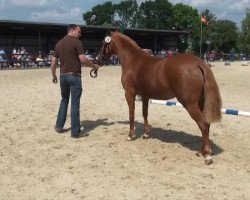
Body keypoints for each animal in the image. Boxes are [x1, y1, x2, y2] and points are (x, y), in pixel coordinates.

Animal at [98, 32, 222, 165]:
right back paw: (201, 151)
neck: (133, 60)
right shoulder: (145, 96)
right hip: (200, 102)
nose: (98, 58)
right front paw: (146, 134)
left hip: (189, 103)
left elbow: (131, 115)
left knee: (203, 124)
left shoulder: (129, 94)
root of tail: (198, 63)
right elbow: (145, 114)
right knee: (206, 125)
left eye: (104, 42)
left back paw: (207, 156)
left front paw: (130, 135)